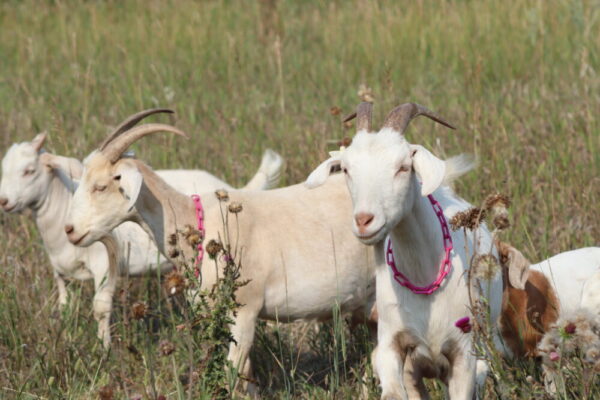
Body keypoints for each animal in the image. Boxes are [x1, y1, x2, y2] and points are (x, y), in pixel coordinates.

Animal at [0, 108, 282, 346]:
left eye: (29, 171)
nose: (4, 201)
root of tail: (229, 189)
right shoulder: (59, 271)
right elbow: (63, 304)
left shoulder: (104, 264)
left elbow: (100, 308)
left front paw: (104, 351)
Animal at [304, 101, 502, 398]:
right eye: (347, 169)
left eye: (403, 167)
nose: (364, 220)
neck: (424, 277)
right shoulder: (392, 344)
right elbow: (393, 391)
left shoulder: (463, 355)